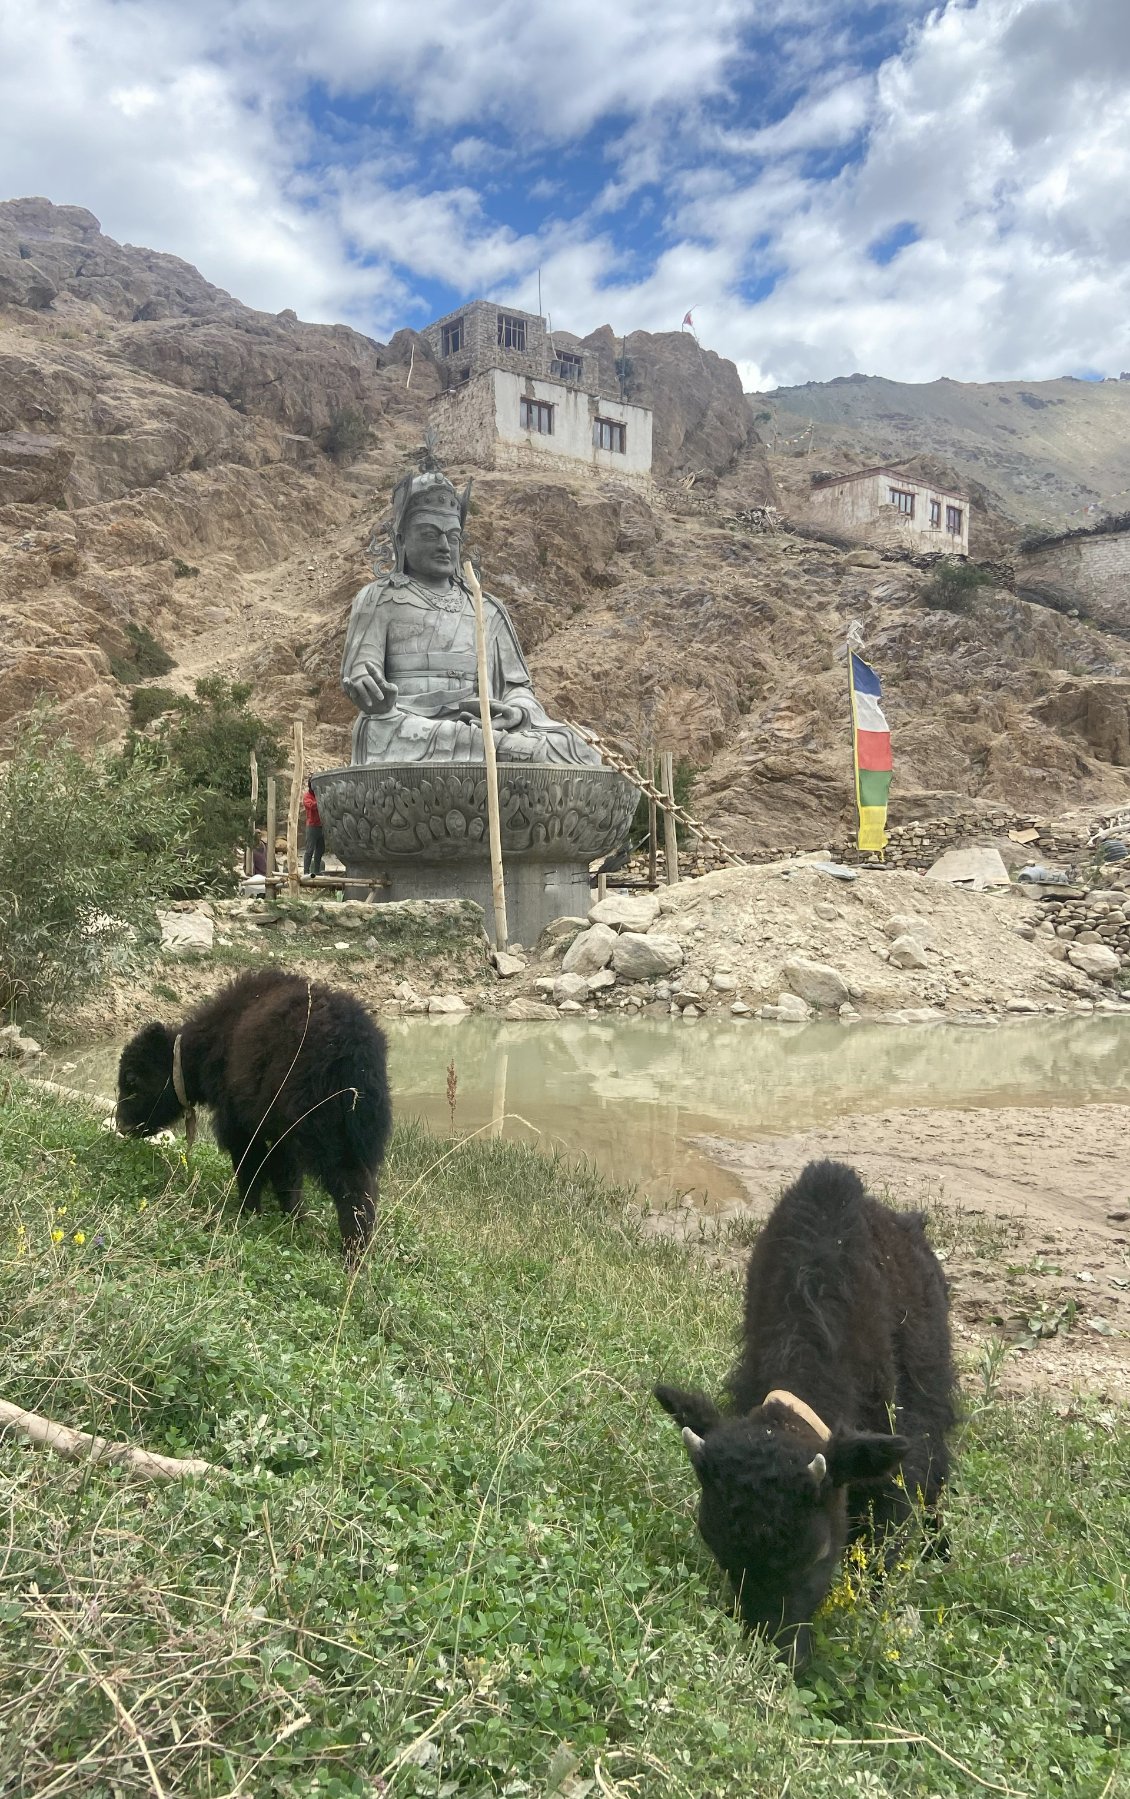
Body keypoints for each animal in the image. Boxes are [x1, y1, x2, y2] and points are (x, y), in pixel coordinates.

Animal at [117, 978, 392, 1259]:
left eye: (131, 1077)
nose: (122, 1125)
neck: (213, 1040)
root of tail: (355, 1047)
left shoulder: (241, 1125)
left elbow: (250, 1168)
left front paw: (249, 1211)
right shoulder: (278, 1133)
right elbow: (286, 1177)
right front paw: (293, 1219)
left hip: (321, 1131)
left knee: (352, 1187)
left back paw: (353, 1252)